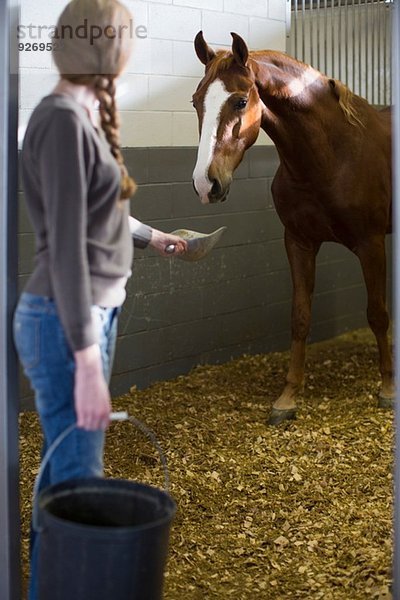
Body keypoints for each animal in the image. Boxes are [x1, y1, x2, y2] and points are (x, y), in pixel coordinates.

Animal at [191, 31, 394, 426]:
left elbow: (377, 313)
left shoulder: (371, 243)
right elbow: (300, 317)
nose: (206, 184)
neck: (333, 155)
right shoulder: (298, 242)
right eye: (196, 102)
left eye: (240, 100)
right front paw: (288, 397)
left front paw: (388, 388)